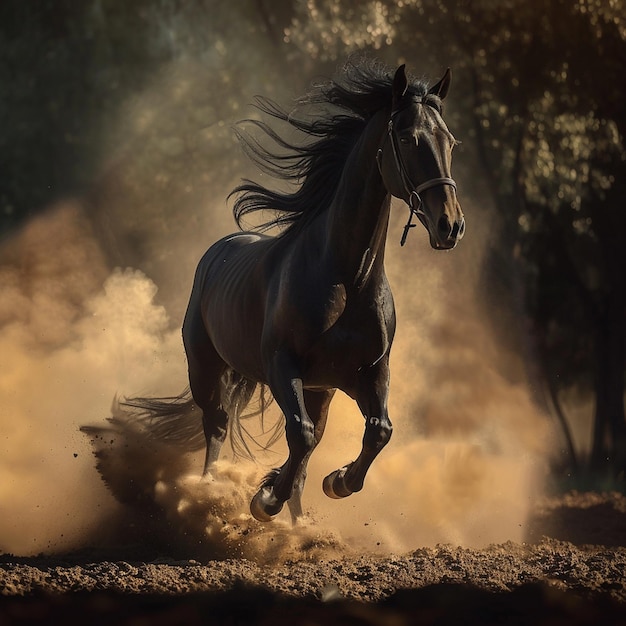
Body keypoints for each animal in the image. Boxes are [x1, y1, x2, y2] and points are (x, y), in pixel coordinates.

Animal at [132, 62, 464, 520]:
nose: (451, 225)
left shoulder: (365, 373)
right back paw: (207, 491)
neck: (349, 280)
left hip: (317, 389)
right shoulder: (282, 365)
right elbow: (301, 434)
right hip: (205, 367)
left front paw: (336, 481)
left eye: (450, 140)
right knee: (217, 425)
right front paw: (264, 500)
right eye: (407, 138)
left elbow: (376, 431)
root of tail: (216, 252)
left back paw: (295, 519)